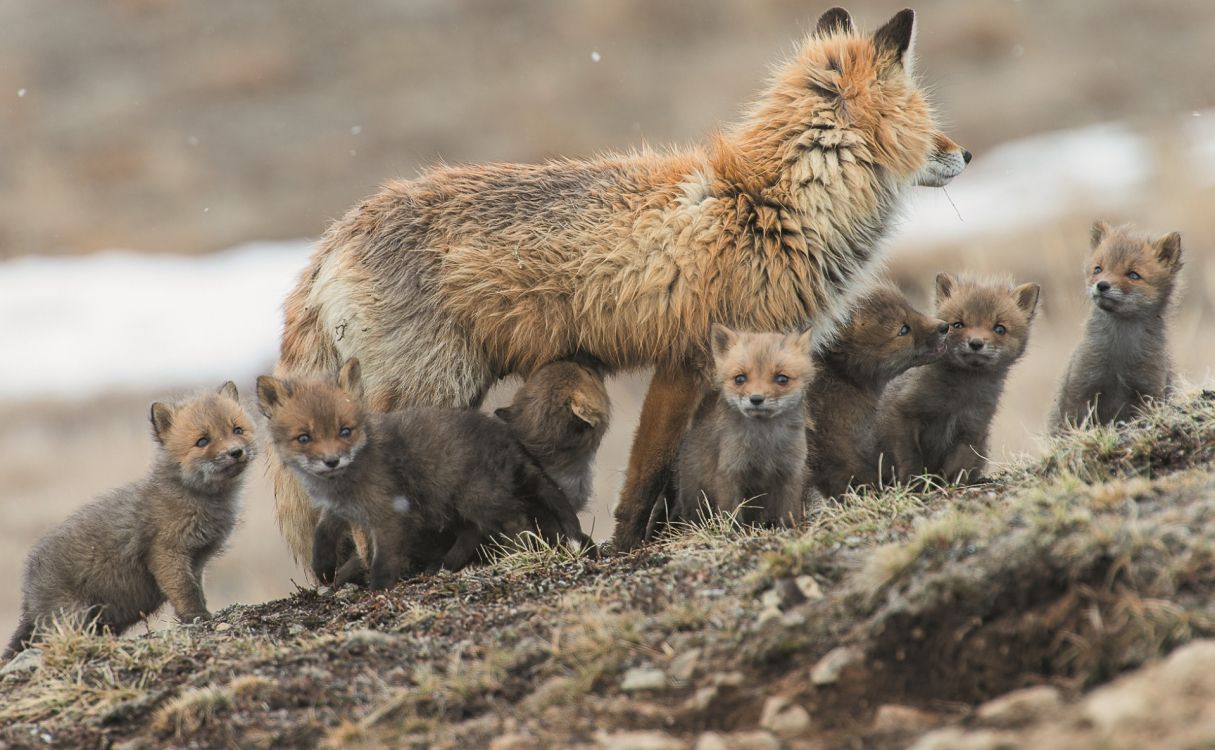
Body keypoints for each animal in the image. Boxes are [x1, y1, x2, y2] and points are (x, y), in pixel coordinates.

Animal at [5, 383, 254, 658]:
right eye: (202, 441)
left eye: (237, 429)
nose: (235, 452)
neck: (194, 498)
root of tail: (28, 594)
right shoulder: (166, 554)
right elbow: (186, 591)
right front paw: (198, 617)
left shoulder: (196, 560)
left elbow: (194, 590)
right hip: (73, 617)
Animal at [257, 359, 589, 588]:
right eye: (304, 438)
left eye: (344, 431)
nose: (332, 461)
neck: (343, 483)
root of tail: (507, 438)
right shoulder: (342, 509)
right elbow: (323, 532)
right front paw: (323, 567)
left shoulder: (390, 515)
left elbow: (384, 561)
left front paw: (378, 589)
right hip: (453, 504)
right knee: (473, 532)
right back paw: (444, 565)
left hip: (477, 499)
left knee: (516, 522)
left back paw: (515, 554)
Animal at [659, 325, 815, 529]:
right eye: (740, 378)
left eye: (782, 379)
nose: (756, 399)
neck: (764, 443)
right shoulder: (730, 471)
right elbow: (730, 513)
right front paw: (732, 532)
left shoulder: (791, 472)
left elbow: (788, 513)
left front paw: (788, 530)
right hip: (695, 496)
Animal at [875, 273, 1040, 485]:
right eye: (958, 325)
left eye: (999, 329)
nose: (976, 343)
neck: (956, 400)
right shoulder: (902, 411)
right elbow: (910, 456)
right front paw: (914, 483)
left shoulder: (972, 429)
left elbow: (957, 468)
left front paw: (947, 485)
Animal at [1049, 222, 1183, 432]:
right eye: (1098, 269)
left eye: (1133, 275)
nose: (1102, 285)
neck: (1119, 356)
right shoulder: (1080, 387)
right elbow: (1072, 425)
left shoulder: (1149, 392)